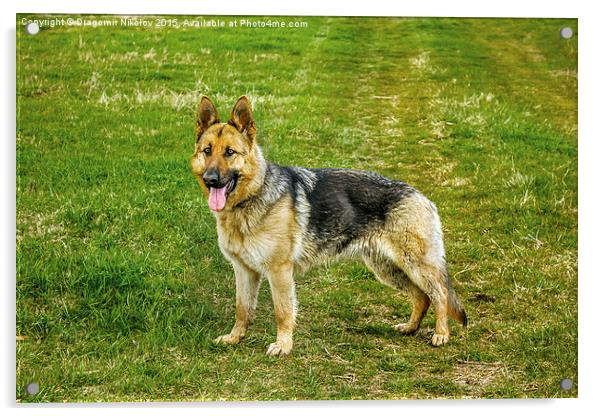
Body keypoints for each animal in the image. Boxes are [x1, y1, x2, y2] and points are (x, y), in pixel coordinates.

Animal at [190, 96, 466, 356]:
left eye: (229, 152)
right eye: (207, 151)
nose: (210, 179)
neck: (251, 198)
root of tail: (422, 197)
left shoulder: (279, 272)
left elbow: (282, 311)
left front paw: (283, 345)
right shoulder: (244, 271)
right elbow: (242, 309)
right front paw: (235, 338)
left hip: (415, 266)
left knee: (439, 294)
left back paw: (441, 334)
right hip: (388, 269)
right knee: (421, 296)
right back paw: (411, 327)